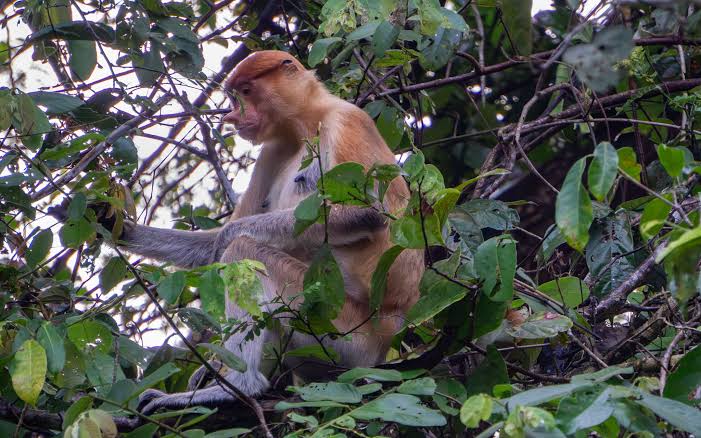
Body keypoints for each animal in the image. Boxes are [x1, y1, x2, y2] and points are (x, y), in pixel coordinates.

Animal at [117, 50, 424, 413]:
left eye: (247, 92)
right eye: (235, 96)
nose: (232, 116)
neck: (306, 122)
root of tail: (387, 333)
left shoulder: (348, 121)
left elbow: (366, 213)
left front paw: (228, 237)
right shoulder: (274, 147)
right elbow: (209, 245)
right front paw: (114, 224)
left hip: (340, 329)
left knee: (245, 253)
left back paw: (237, 387)